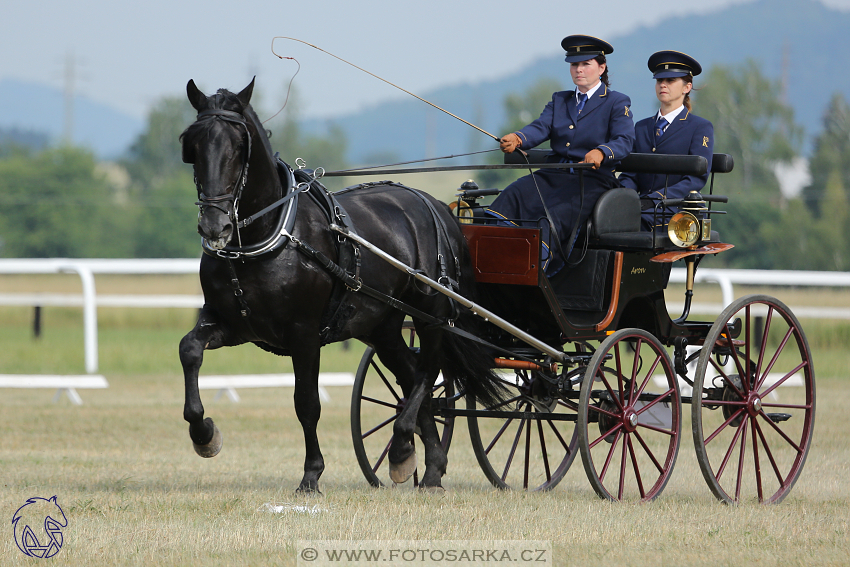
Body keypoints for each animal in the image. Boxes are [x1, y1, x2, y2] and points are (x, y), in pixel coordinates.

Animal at [176, 79, 500, 492]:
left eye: (237, 145)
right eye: (193, 145)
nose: (214, 225)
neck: (264, 237)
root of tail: (437, 206)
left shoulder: (304, 333)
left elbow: (307, 403)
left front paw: (311, 474)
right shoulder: (234, 324)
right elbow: (190, 350)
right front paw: (204, 434)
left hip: (430, 314)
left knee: (427, 371)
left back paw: (401, 448)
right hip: (382, 326)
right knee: (412, 376)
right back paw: (427, 467)